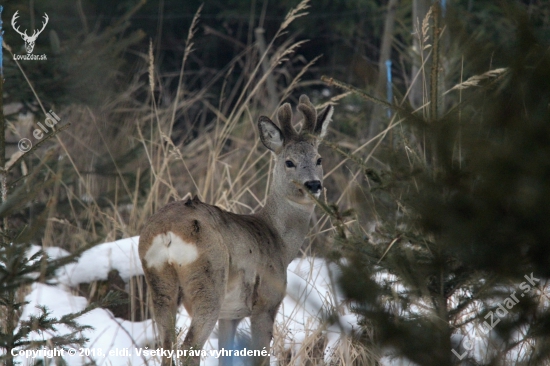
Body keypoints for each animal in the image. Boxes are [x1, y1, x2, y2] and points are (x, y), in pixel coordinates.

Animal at [140, 96, 334, 364]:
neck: (279, 241)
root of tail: (167, 233)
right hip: (208, 281)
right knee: (189, 347)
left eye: (319, 159)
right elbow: (260, 356)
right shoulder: (266, 301)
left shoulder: (229, 314)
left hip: (159, 282)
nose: (313, 184)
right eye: (289, 162)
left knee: (166, 345)